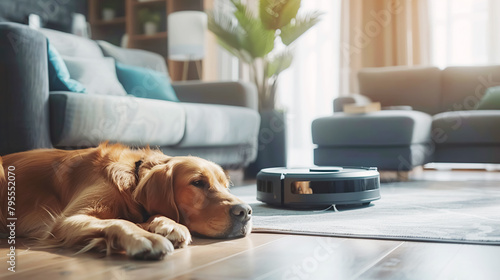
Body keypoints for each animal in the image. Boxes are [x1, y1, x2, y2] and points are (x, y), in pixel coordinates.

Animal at [0, 144, 250, 260]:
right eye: (198, 183)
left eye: (226, 185)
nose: (246, 212)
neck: (132, 176)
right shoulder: (67, 219)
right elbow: (120, 221)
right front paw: (146, 236)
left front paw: (168, 224)